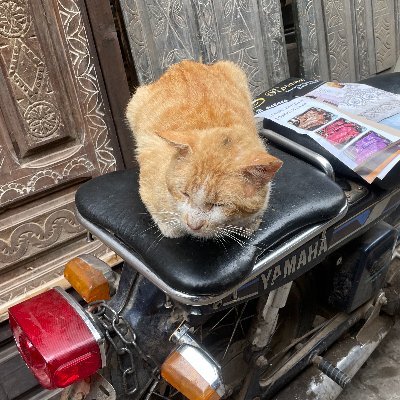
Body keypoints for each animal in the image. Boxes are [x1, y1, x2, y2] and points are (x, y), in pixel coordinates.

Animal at [126, 61, 282, 239]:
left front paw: (249, 225)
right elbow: (162, 216)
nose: (193, 225)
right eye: (184, 193)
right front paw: (171, 227)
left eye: (218, 205)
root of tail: (184, 63)